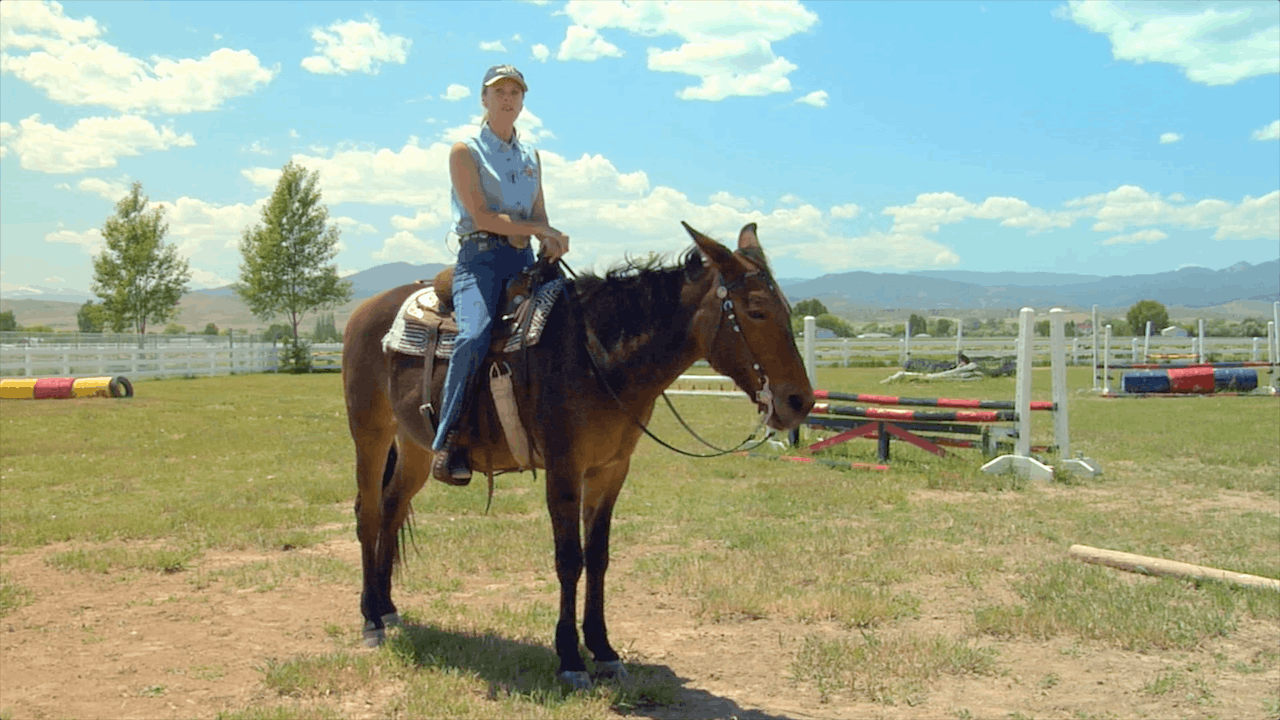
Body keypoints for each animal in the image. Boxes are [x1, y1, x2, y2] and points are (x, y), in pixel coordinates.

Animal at [343, 221, 808, 686]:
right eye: (755, 310)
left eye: (785, 309)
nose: (799, 401)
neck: (598, 355)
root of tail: (366, 310)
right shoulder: (563, 470)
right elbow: (569, 559)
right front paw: (569, 658)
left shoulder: (609, 470)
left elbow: (598, 557)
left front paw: (603, 649)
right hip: (370, 435)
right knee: (369, 513)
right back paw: (371, 620)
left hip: (416, 446)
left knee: (392, 507)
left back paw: (386, 606)